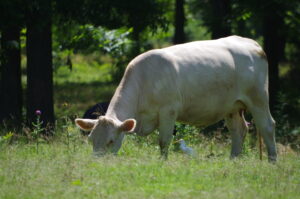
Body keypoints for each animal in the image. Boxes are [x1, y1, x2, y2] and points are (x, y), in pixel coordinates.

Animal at [76, 35, 278, 162]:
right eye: (91, 139)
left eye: (110, 141)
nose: (98, 163)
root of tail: (252, 43)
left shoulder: (169, 111)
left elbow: (163, 141)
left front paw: (162, 163)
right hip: (232, 106)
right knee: (239, 130)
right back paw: (233, 160)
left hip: (258, 97)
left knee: (267, 126)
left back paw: (272, 161)